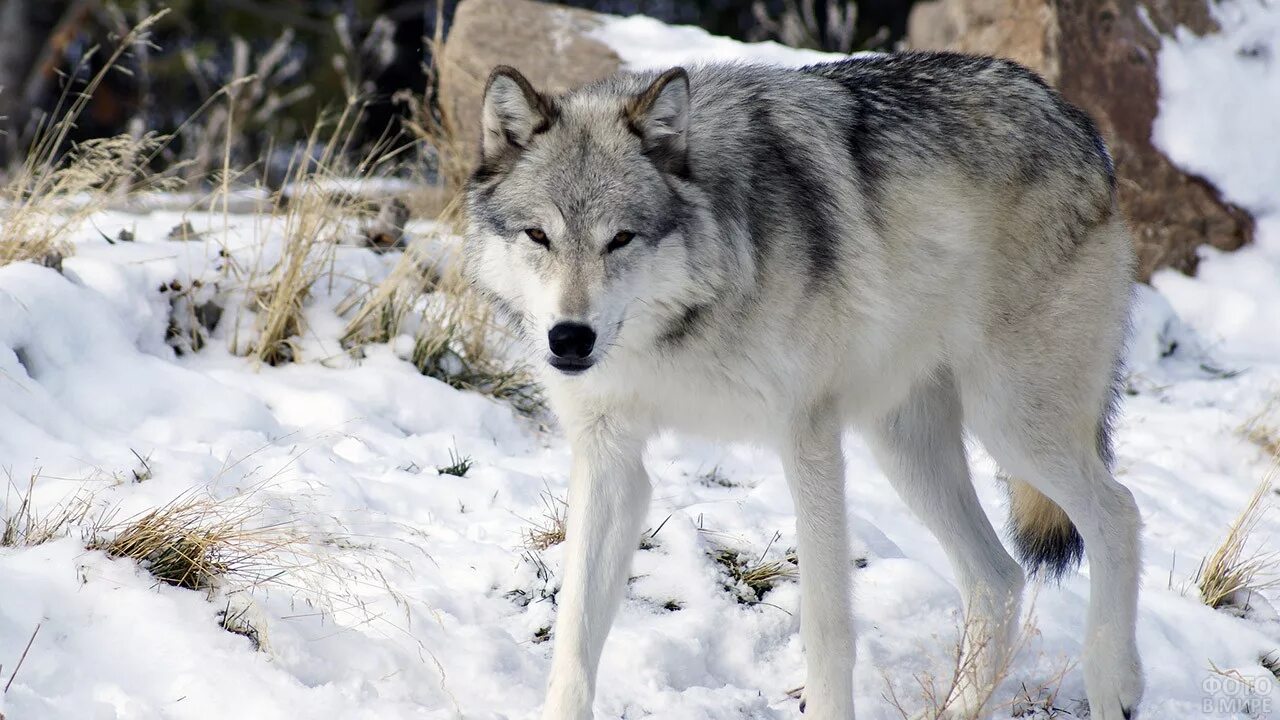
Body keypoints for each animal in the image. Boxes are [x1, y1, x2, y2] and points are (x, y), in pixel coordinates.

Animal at [465, 51, 1146, 717]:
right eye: (538, 235)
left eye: (621, 239)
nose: (569, 339)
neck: (680, 328)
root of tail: (1075, 119)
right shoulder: (611, 457)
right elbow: (575, 632)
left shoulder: (808, 439)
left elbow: (826, 626)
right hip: (907, 449)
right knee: (999, 578)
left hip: (1009, 423)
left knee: (1119, 512)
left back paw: (1115, 684)